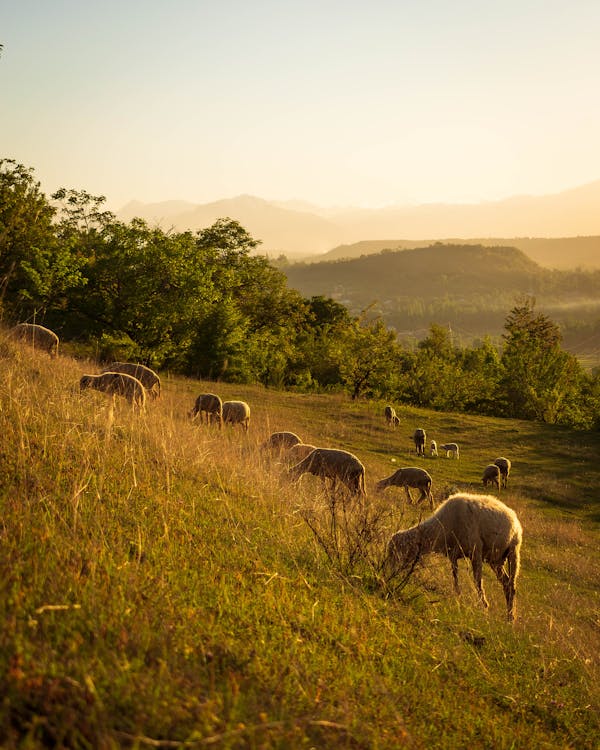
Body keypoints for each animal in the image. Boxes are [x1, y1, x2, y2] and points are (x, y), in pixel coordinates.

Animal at [384, 494, 520, 624]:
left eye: (396, 551)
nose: (390, 575)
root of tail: (514, 518)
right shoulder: (453, 555)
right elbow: (455, 579)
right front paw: (458, 598)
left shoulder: (475, 552)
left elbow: (477, 583)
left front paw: (484, 607)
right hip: (496, 560)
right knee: (506, 584)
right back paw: (510, 617)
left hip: (513, 553)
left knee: (511, 586)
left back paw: (511, 618)